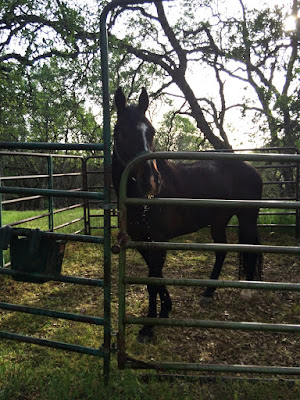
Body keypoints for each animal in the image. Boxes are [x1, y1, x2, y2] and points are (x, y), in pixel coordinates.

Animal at [112, 86, 262, 340]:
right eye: (120, 133)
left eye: (151, 131)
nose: (151, 182)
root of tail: (251, 168)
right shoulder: (142, 241)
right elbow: (156, 277)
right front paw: (165, 310)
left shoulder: (159, 241)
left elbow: (153, 281)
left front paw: (148, 327)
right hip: (218, 222)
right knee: (221, 252)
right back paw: (208, 293)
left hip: (247, 219)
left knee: (249, 248)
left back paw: (247, 292)